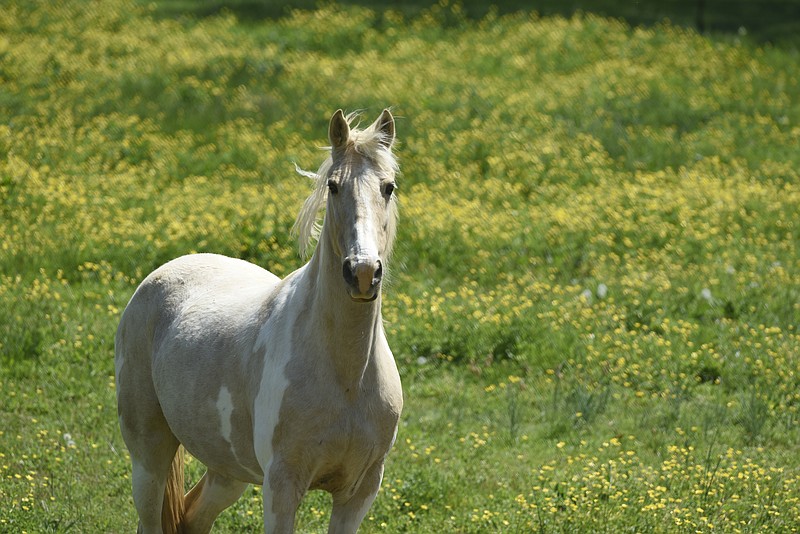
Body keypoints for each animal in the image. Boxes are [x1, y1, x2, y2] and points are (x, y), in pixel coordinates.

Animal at [115, 110, 404, 534]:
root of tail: (161, 274)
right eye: (333, 186)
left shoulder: (359, 491)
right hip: (148, 458)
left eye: (389, 187)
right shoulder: (282, 486)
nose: (363, 272)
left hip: (227, 471)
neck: (346, 377)